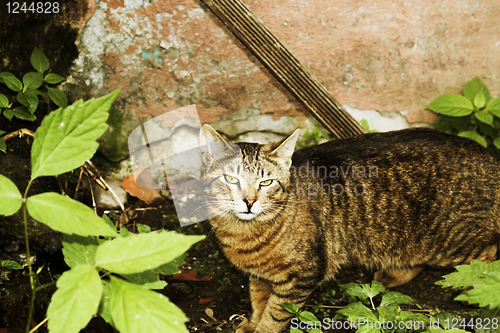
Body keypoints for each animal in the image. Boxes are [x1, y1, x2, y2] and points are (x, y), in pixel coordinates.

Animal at [199, 123, 500, 330]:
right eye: (231, 179)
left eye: (266, 182)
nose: (249, 201)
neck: (243, 234)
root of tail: (492, 159)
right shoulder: (260, 275)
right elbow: (258, 300)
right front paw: (252, 323)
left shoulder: (301, 276)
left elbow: (275, 314)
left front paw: (262, 328)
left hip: (452, 243)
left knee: (487, 255)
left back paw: (473, 287)